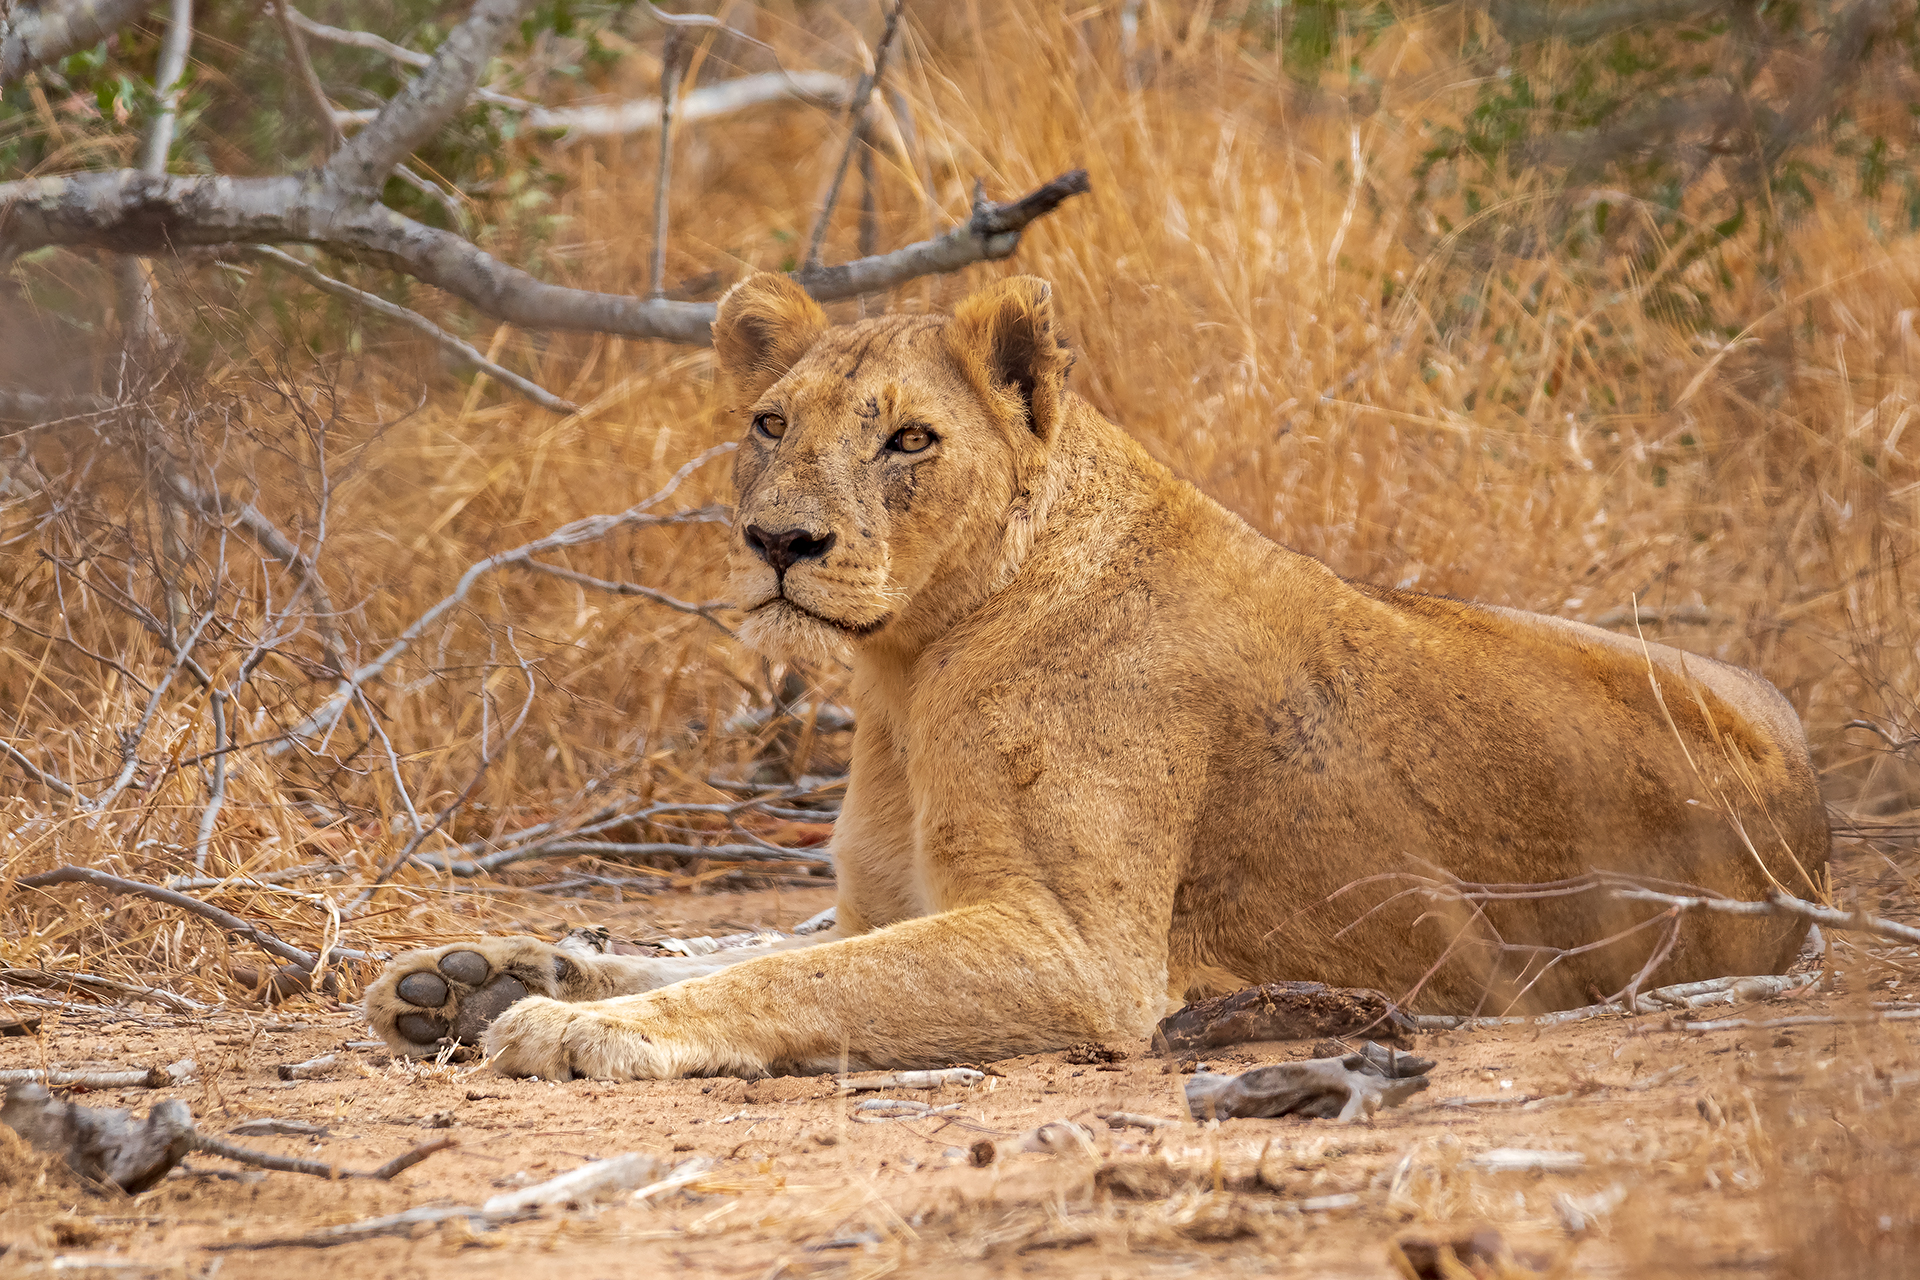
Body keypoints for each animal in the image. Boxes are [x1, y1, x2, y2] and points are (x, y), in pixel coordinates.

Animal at [364, 273, 1829, 1080]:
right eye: (769, 423)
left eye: (909, 439)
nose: (780, 544)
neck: (907, 674)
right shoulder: (884, 901)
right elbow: (755, 941)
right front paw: (478, 978)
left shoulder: (1080, 956)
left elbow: (793, 980)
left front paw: (573, 1028)